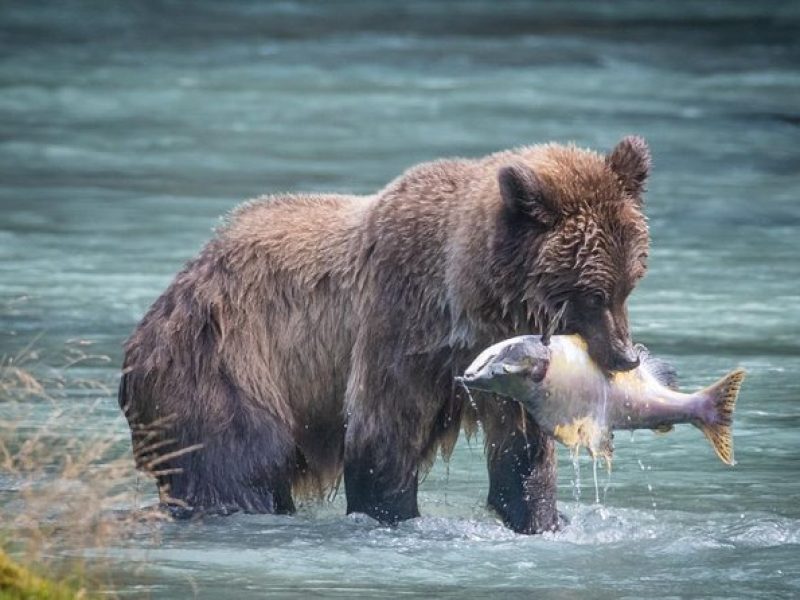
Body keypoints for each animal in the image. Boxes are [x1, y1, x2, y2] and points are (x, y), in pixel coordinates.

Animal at [122, 136, 652, 536]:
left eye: (628, 284)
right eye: (590, 294)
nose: (626, 355)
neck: (465, 301)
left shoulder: (509, 367)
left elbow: (521, 454)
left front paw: (542, 518)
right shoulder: (399, 326)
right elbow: (382, 436)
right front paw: (395, 515)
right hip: (225, 367)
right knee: (234, 466)